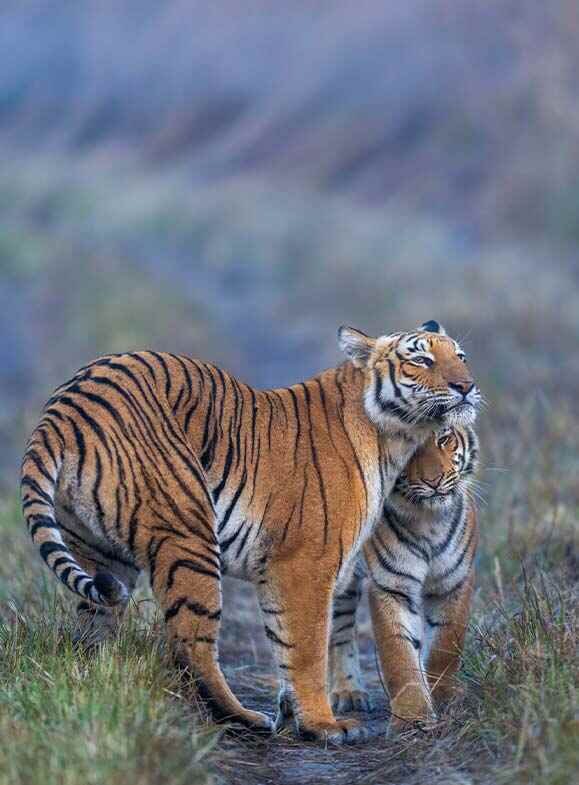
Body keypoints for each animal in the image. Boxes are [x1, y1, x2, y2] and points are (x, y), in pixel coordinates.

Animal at [328, 422, 482, 728]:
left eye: (443, 438)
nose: (433, 481)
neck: (429, 519)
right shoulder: (391, 586)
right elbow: (398, 653)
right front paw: (412, 716)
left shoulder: (454, 581)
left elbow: (446, 644)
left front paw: (446, 698)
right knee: (335, 626)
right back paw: (347, 692)